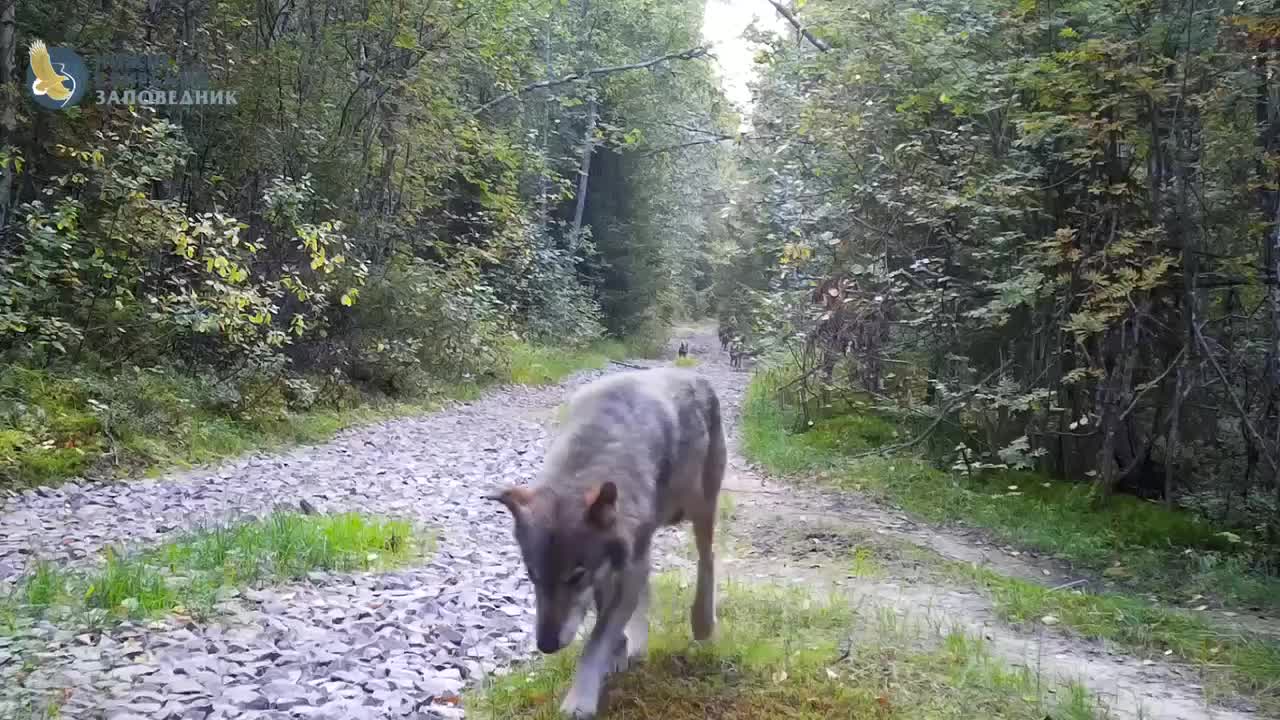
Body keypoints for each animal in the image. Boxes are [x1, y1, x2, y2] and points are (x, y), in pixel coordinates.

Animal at [488, 366, 732, 712]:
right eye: (532, 576)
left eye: (576, 576)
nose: (546, 645)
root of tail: (691, 374)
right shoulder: (612, 571)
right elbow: (610, 629)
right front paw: (619, 655)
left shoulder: (622, 571)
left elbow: (595, 642)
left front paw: (579, 702)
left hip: (699, 509)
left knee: (706, 558)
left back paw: (702, 624)